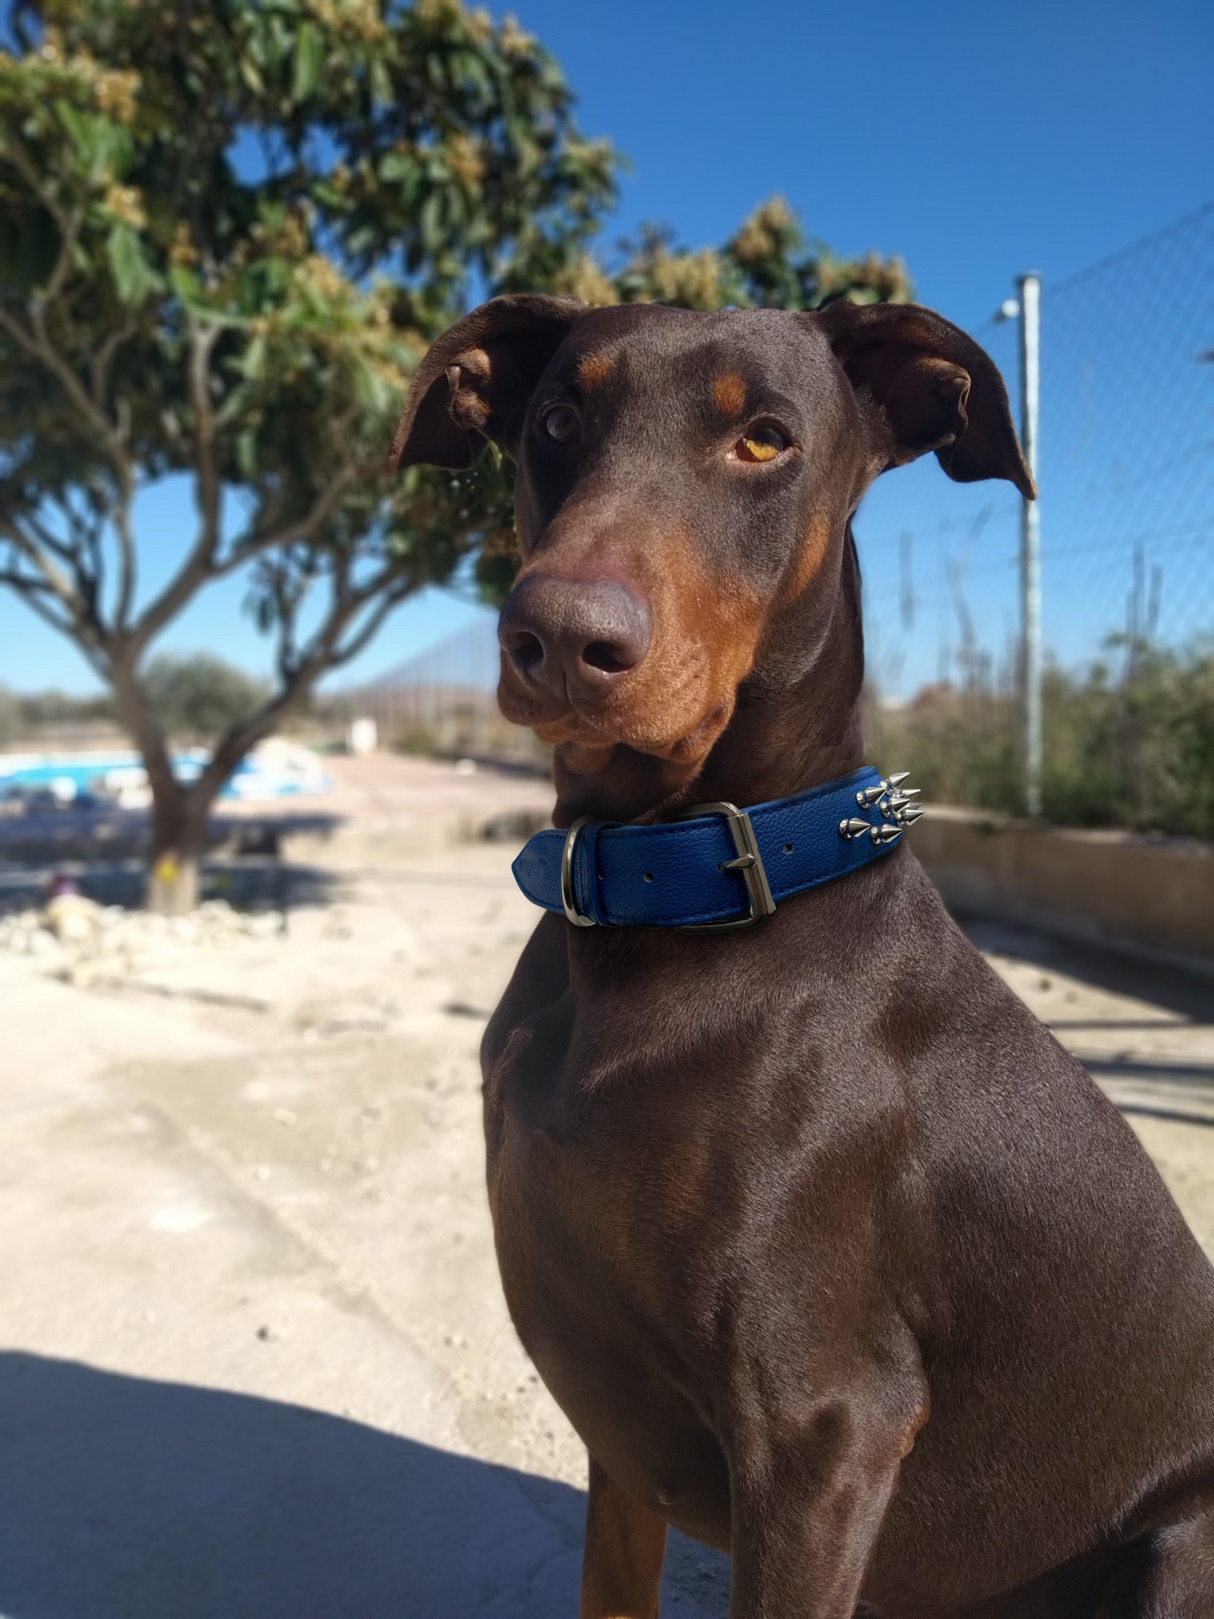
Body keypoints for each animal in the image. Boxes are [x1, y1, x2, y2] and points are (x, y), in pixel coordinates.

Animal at [394, 297, 1214, 1612]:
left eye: (764, 440)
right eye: (558, 419)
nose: (559, 636)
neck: (663, 900)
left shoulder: (820, 1429)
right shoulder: (622, 1433)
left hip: (1182, 1538)